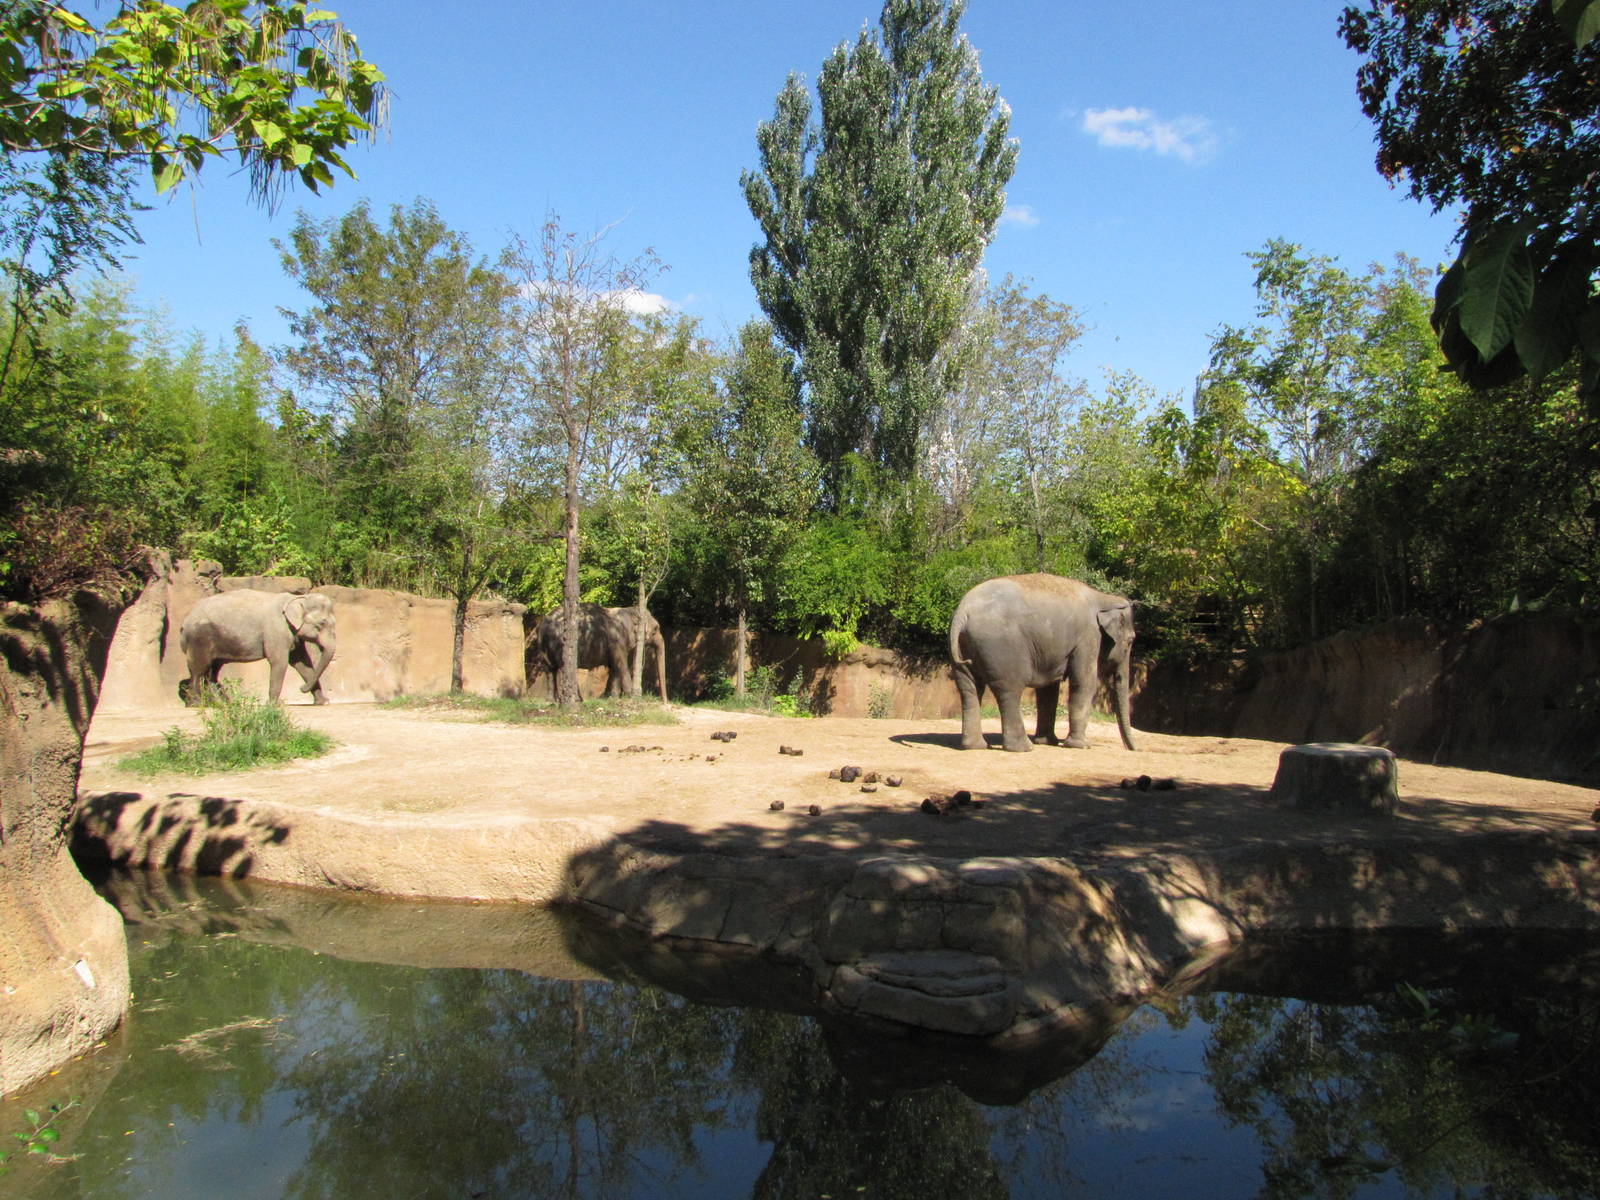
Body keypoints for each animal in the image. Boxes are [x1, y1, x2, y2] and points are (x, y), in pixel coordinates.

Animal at [179, 589, 338, 705]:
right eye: (322, 623)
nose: (301, 689)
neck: (297, 598)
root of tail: (185, 620)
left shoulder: (293, 633)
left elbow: (303, 663)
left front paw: (323, 702)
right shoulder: (276, 630)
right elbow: (279, 662)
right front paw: (274, 705)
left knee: (212, 671)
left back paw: (225, 703)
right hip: (199, 638)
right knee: (199, 669)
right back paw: (197, 704)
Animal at [535, 603, 668, 701]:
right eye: (656, 628)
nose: (664, 702)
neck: (628, 610)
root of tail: (544, 623)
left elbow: (614, 666)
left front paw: (611, 697)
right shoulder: (617, 639)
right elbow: (621, 664)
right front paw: (631, 696)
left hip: (544, 646)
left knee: (550, 669)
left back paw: (551, 700)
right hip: (562, 643)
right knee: (564, 668)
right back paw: (577, 700)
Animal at [949, 573, 1137, 753]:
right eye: (1130, 641)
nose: (1134, 749)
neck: (1104, 597)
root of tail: (963, 612)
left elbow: (1049, 690)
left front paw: (1048, 742)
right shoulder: (1088, 636)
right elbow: (1084, 683)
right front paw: (1082, 746)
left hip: (963, 648)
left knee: (969, 689)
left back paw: (975, 746)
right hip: (1002, 648)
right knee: (1010, 691)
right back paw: (1023, 748)